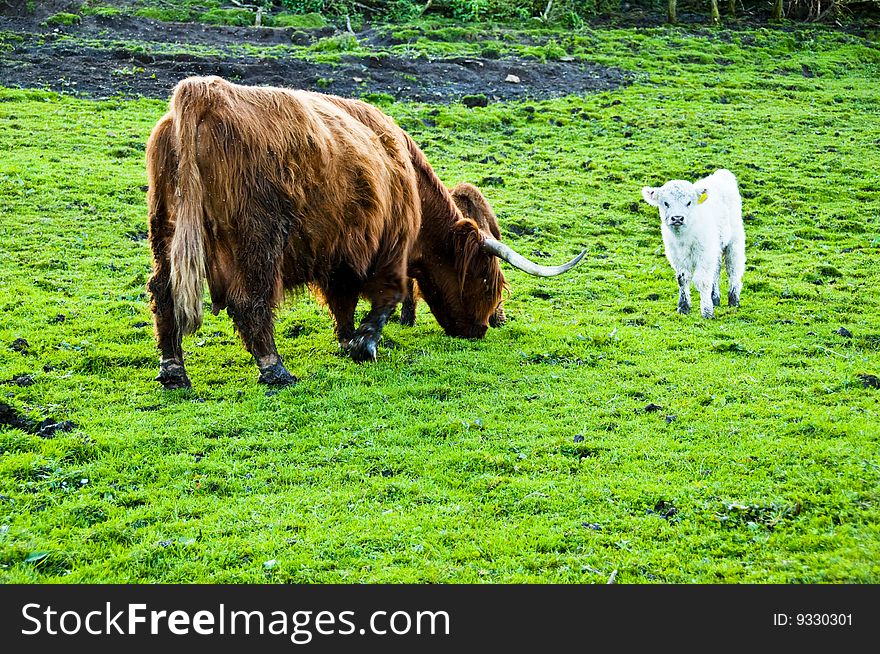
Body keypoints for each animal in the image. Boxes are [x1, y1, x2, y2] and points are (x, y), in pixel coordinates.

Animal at [644, 169, 744, 320]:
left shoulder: (704, 254)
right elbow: (682, 279)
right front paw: (683, 307)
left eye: (689, 202)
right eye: (665, 203)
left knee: (733, 270)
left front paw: (707, 312)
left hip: (734, 241)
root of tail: (721, 174)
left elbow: (702, 281)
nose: (677, 218)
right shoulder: (676, 257)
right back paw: (715, 298)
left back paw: (733, 300)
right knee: (716, 270)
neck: (683, 239)